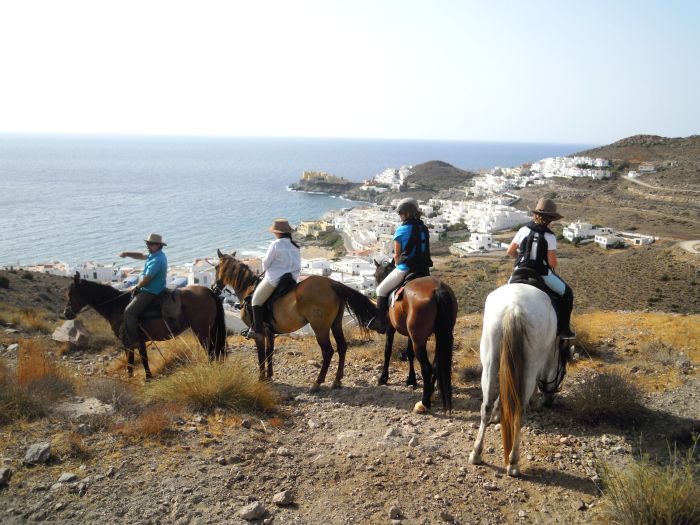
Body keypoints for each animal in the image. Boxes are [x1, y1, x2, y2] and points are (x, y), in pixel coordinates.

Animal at [63, 272, 226, 378]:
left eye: (70, 294)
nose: (66, 313)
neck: (118, 306)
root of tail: (207, 291)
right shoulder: (138, 341)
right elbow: (140, 358)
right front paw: (145, 376)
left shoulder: (129, 341)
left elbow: (134, 360)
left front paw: (141, 378)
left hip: (202, 331)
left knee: (211, 351)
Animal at [213, 249, 378, 388]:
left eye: (215, 267)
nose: (215, 287)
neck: (248, 289)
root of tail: (332, 283)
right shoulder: (269, 332)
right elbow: (269, 351)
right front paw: (269, 375)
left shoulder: (259, 333)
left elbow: (261, 354)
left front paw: (261, 378)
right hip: (336, 324)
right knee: (342, 347)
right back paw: (337, 381)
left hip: (320, 328)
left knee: (328, 351)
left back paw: (317, 383)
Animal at [372, 260, 460, 412]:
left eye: (376, 275)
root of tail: (438, 290)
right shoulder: (410, 335)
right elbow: (409, 353)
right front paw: (411, 379)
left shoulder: (390, 329)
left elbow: (387, 351)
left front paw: (383, 377)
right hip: (439, 335)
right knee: (436, 364)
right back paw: (430, 392)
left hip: (419, 341)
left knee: (427, 368)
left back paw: (424, 402)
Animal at [468, 282, 572, 474]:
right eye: (562, 371)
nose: (549, 401)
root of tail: (514, 308)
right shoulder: (539, 363)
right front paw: (534, 402)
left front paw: (497, 412)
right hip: (529, 366)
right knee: (519, 411)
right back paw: (514, 462)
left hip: (489, 362)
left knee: (485, 406)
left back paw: (476, 453)